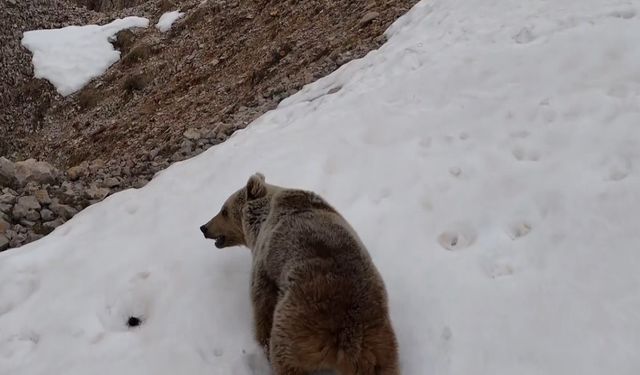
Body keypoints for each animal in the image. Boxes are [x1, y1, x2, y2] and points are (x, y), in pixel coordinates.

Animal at [200, 175, 400, 374]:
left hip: (295, 330)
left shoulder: (265, 263)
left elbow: (262, 306)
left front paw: (262, 343)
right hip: (379, 345)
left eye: (224, 210)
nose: (204, 227)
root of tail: (347, 340)